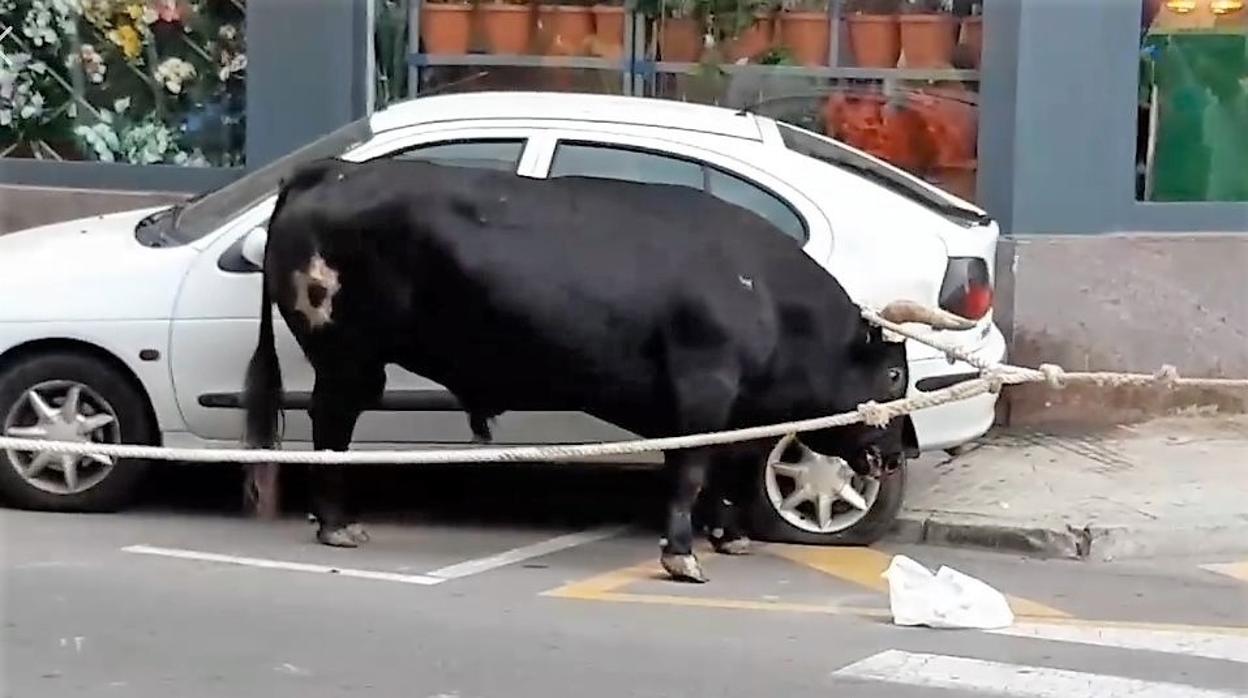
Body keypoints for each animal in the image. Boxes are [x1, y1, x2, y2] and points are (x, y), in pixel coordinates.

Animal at [238, 158, 968, 584]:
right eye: (895, 377)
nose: (893, 456)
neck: (760, 290)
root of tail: (331, 172)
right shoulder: (702, 392)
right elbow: (691, 473)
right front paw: (682, 554)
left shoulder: (735, 411)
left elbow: (723, 472)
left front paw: (728, 538)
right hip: (348, 357)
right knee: (331, 426)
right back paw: (337, 524)